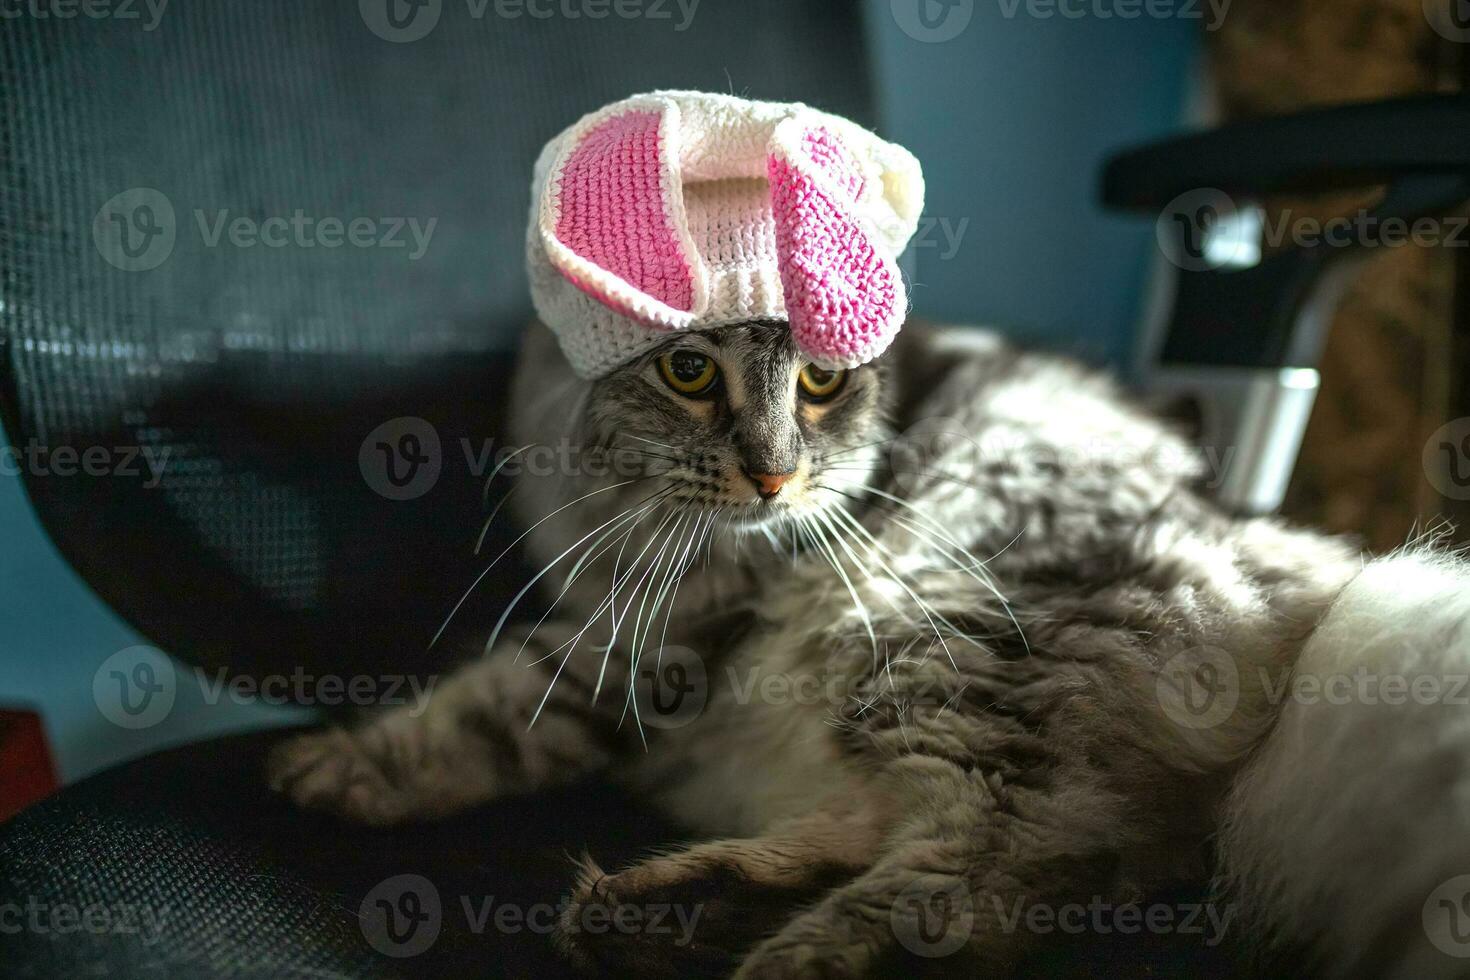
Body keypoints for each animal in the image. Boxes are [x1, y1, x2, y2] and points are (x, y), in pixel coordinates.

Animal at [270, 318, 1470, 975]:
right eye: (688, 372)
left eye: (818, 381)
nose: (771, 474)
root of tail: (1305, 572)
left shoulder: (646, 638)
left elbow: (481, 716)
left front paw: (339, 769)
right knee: (942, 847)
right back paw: (663, 913)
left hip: (940, 647)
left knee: (982, 868)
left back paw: (774, 956)